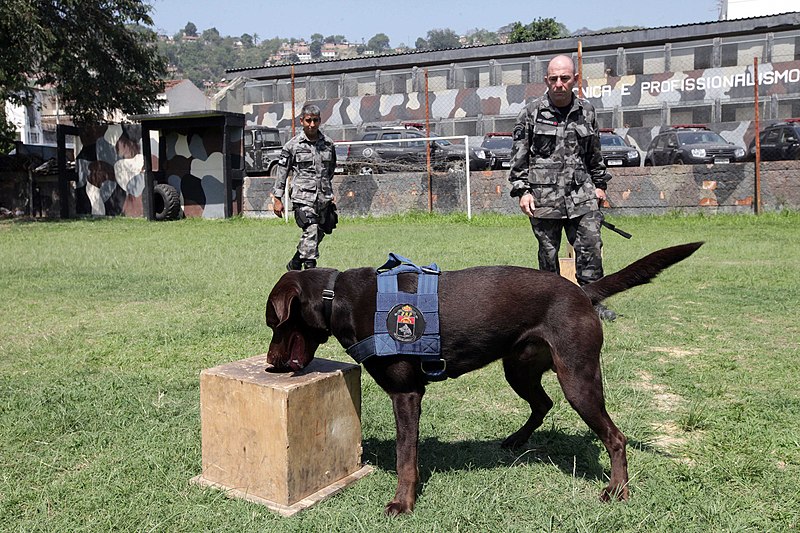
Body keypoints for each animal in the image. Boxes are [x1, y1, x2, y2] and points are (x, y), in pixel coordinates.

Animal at [266, 243, 704, 512]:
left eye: (274, 323)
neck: (337, 297)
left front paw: (403, 503)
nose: (269, 363)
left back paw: (617, 490)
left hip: (578, 377)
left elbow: (406, 456)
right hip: (520, 367)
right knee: (543, 403)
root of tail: (583, 292)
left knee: (615, 436)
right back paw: (515, 441)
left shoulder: (406, 393)